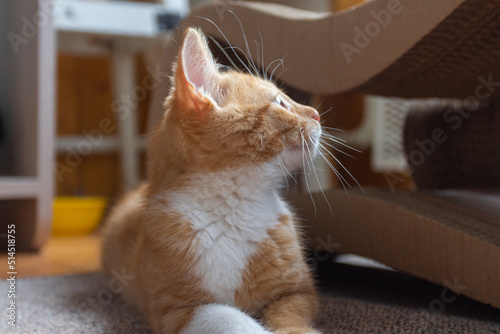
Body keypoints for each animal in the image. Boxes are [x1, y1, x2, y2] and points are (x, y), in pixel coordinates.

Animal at [100, 28, 324, 334]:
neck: (233, 207)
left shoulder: (297, 292)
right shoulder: (176, 311)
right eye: (279, 102)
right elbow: (227, 316)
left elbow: (289, 316)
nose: (317, 113)